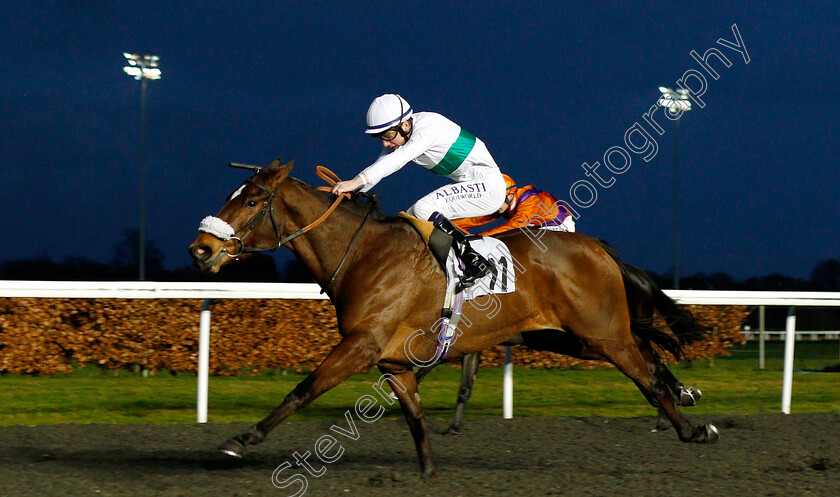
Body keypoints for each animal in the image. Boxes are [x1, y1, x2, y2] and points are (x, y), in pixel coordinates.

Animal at [192, 158, 720, 472]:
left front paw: (242, 438)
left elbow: (303, 389)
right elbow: (415, 416)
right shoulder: (394, 361)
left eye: (252, 200)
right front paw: (428, 470)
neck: (361, 252)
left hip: (604, 334)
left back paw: (693, 427)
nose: (201, 249)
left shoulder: (362, 344)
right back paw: (687, 404)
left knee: (647, 375)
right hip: (571, 338)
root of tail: (600, 249)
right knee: (649, 358)